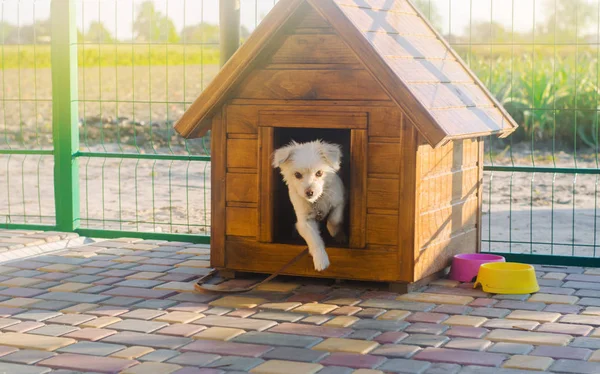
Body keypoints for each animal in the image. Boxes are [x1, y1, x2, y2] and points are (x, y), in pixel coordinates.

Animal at [274, 139, 346, 270]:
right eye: (297, 175)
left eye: (319, 173)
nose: (309, 192)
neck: (317, 201)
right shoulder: (304, 222)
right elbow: (314, 240)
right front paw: (321, 260)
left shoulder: (340, 200)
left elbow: (335, 219)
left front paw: (333, 231)